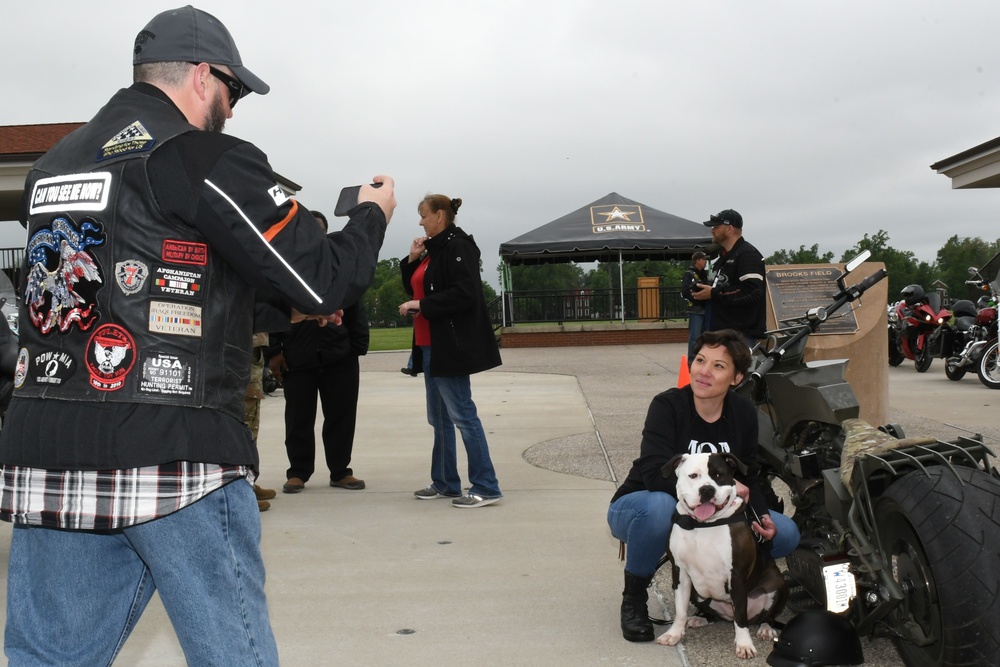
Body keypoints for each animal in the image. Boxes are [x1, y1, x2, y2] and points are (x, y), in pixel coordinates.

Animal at [656, 452, 788, 660]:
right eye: (693, 476)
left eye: (719, 475)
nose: (707, 489)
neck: (704, 525)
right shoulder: (680, 572)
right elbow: (680, 610)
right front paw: (674, 633)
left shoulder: (737, 576)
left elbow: (741, 617)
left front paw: (744, 644)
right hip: (697, 592)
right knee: (711, 613)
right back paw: (700, 618)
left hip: (778, 583)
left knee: (766, 616)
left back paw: (766, 628)